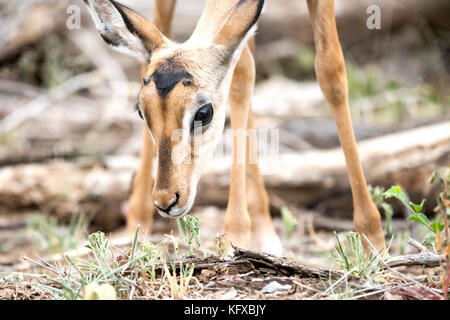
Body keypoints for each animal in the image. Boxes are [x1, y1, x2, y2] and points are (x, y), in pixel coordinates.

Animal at [82, 0, 384, 255]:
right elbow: (242, 75)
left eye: (203, 112)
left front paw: (374, 239)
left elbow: (331, 73)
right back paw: (138, 224)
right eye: (140, 111)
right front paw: (237, 236)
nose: (166, 200)